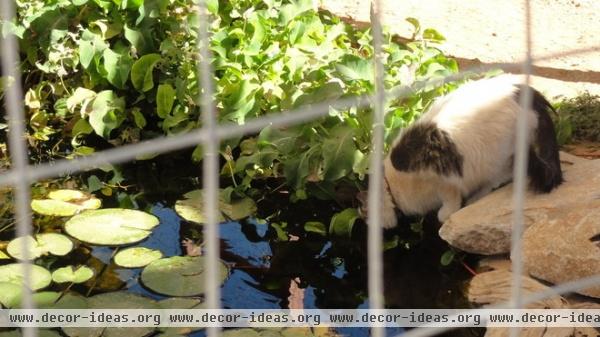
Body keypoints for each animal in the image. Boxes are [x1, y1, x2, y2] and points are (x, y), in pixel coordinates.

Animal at [370, 74, 564, 227]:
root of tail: (528, 94)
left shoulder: (444, 180)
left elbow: (449, 204)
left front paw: (447, 213)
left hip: (498, 154)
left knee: (503, 175)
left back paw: (476, 196)